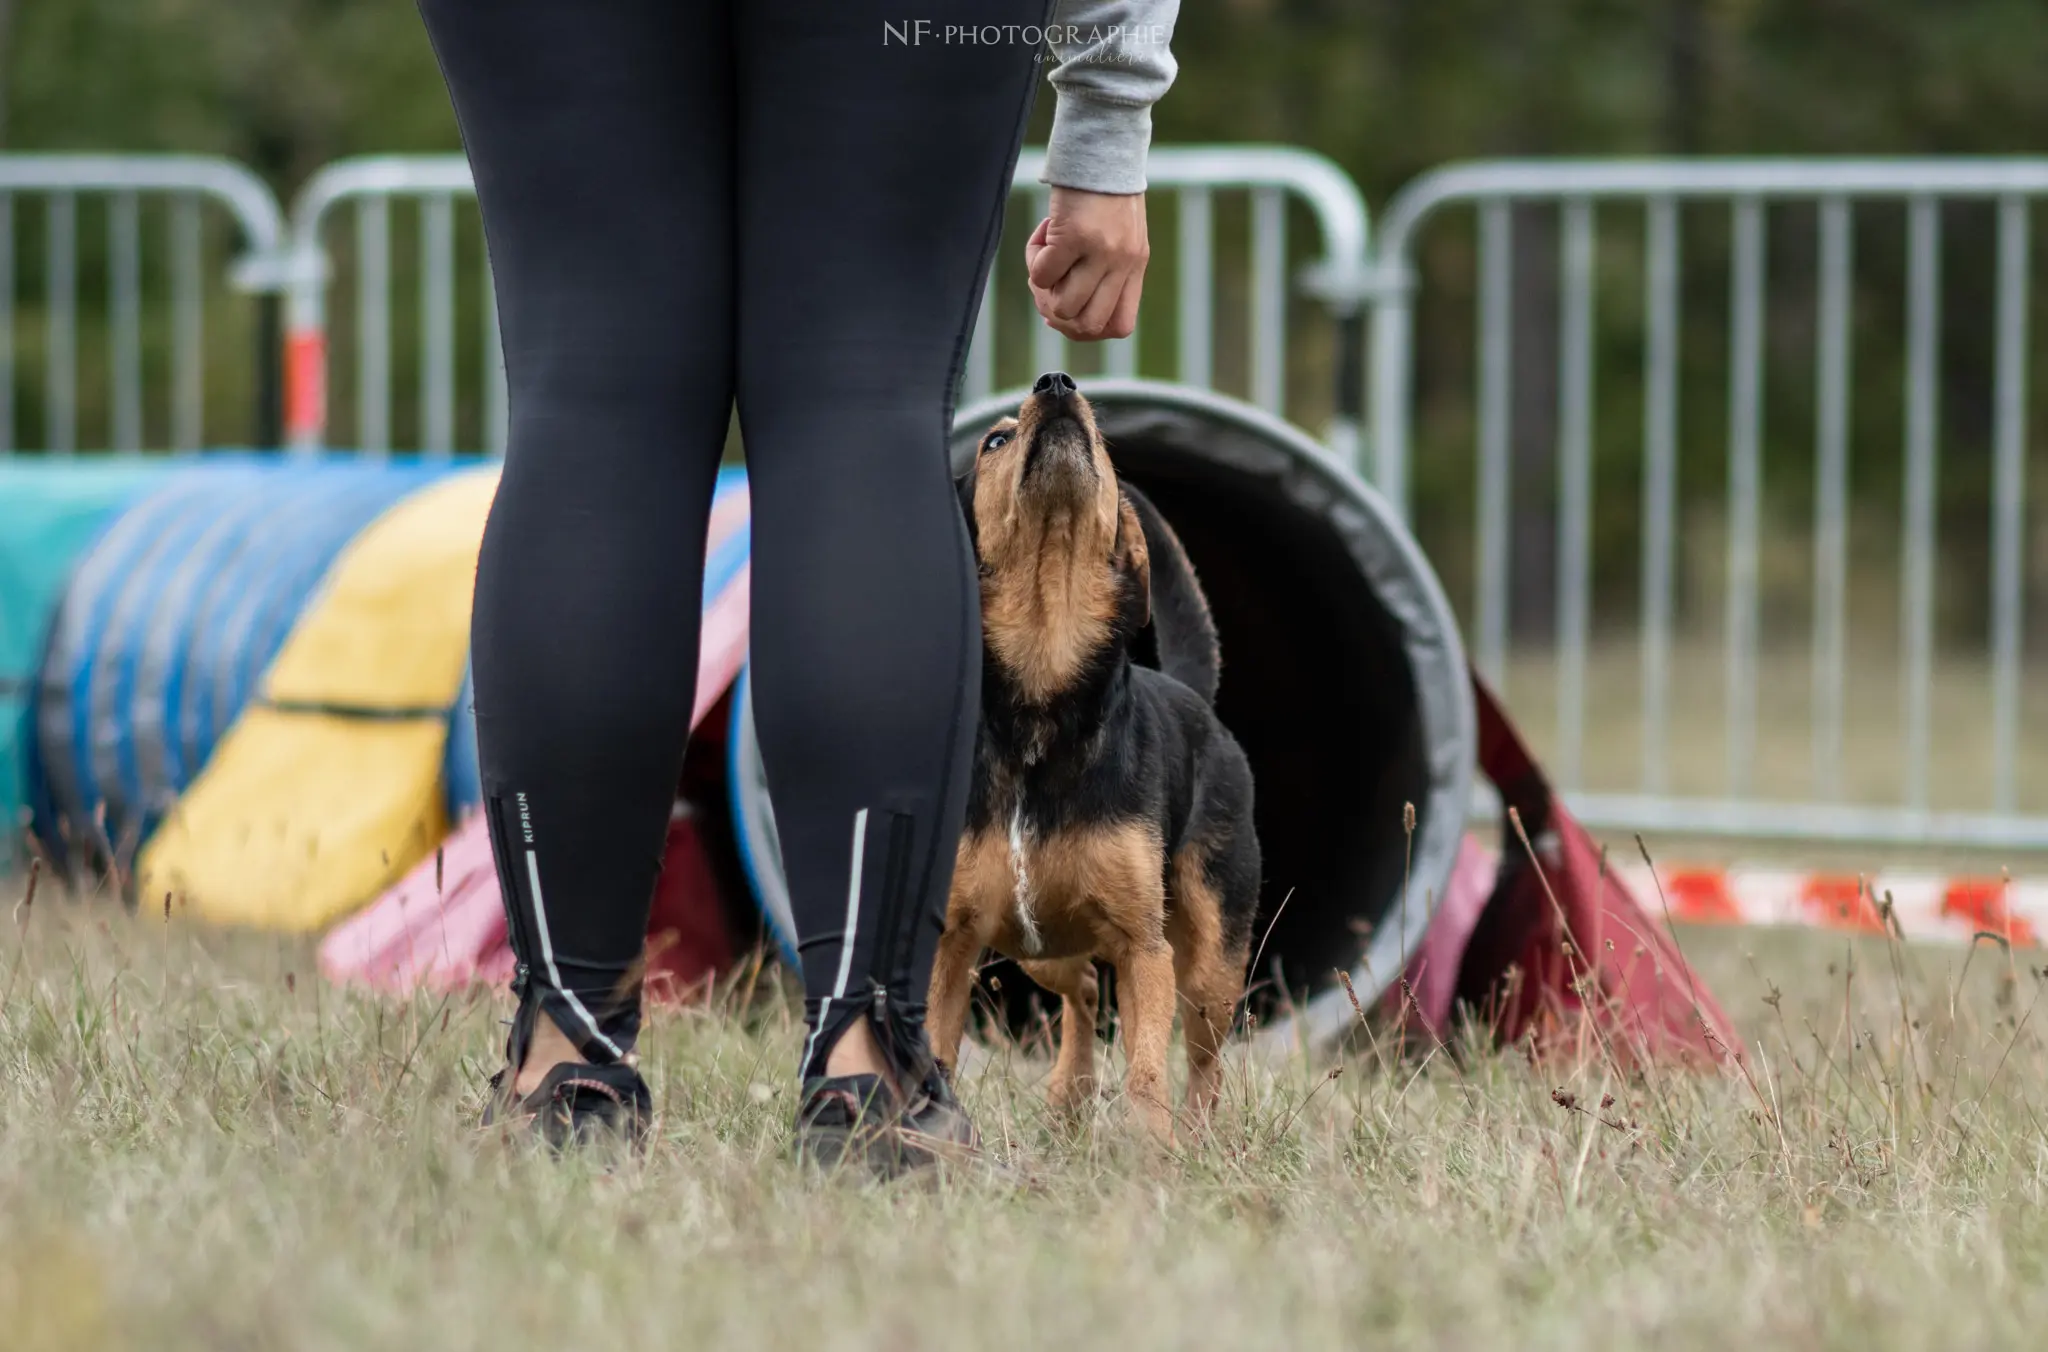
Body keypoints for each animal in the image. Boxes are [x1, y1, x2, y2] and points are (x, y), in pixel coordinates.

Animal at [933, 372, 1253, 1138]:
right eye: (994, 441)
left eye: (1105, 449)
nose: (1056, 384)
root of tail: (1194, 695)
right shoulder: (953, 941)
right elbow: (934, 1045)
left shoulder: (1144, 947)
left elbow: (1146, 1071)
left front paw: (1153, 1148)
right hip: (1039, 944)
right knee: (1078, 990)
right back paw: (1069, 1093)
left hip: (1211, 963)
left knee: (1203, 1058)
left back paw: (1201, 1136)